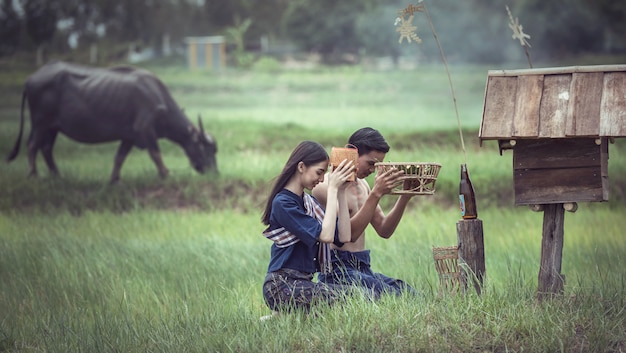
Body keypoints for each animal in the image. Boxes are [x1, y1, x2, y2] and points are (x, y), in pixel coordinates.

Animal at [6, 60, 217, 183]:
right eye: (205, 148)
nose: (214, 173)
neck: (159, 101)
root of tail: (30, 79)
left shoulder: (129, 137)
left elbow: (119, 157)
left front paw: (114, 179)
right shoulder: (145, 130)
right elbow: (155, 153)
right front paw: (165, 173)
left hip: (52, 128)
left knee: (46, 148)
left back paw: (57, 176)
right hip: (40, 123)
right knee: (32, 146)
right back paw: (33, 174)